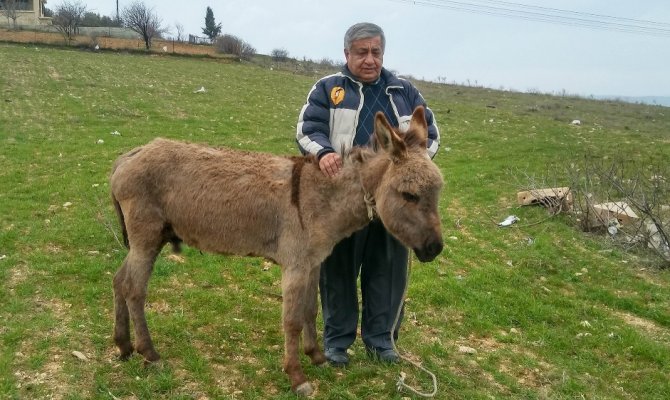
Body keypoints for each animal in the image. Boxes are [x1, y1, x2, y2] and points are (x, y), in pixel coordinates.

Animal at [110, 105, 446, 394]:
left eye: (437, 192)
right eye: (409, 195)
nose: (435, 249)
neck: (322, 197)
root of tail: (129, 156)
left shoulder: (314, 262)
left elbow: (311, 309)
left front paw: (317, 357)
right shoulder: (295, 265)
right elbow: (292, 319)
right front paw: (297, 377)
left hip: (149, 240)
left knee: (119, 280)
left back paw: (123, 346)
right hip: (146, 237)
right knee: (135, 289)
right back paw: (149, 353)